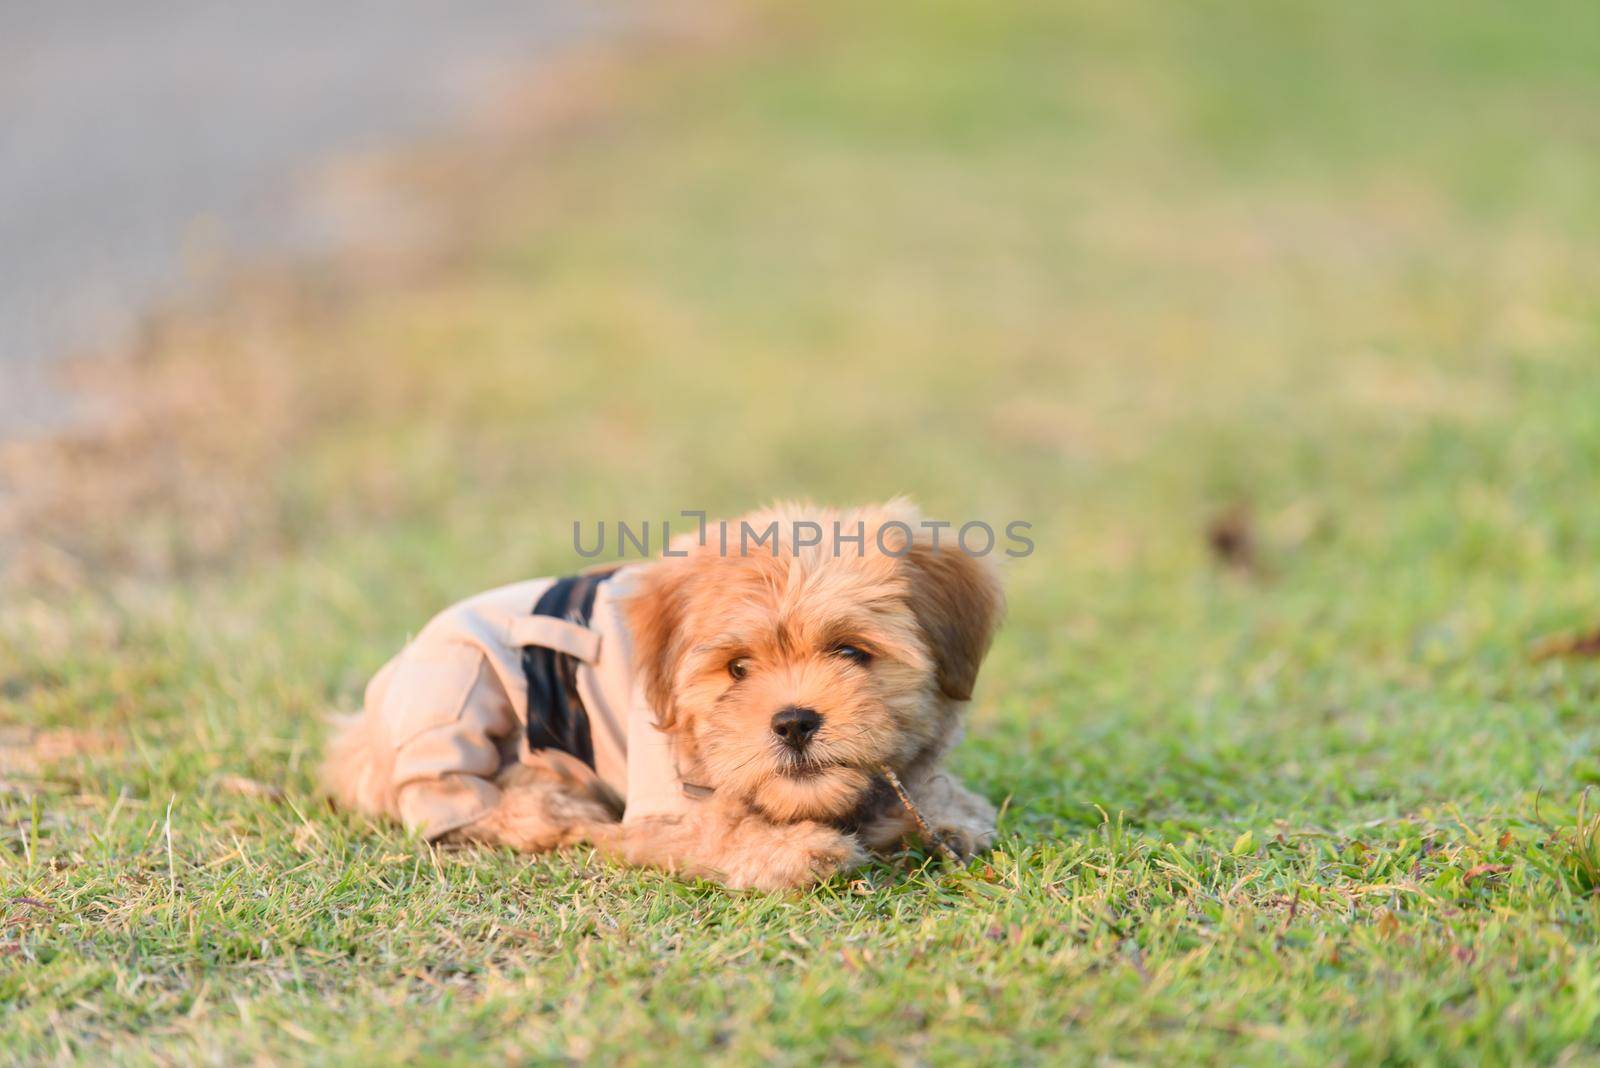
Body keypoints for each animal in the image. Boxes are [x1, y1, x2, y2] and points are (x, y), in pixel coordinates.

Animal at [320, 505, 1004, 888]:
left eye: (852, 652)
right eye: (737, 668)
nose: (793, 722)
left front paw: (943, 814)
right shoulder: (662, 798)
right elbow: (714, 830)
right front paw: (795, 850)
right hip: (457, 700)